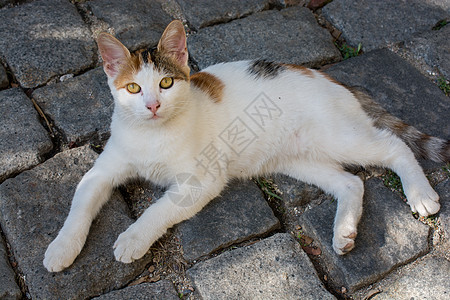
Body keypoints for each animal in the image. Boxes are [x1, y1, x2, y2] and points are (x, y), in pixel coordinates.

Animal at [44, 20, 448, 272]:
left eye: (167, 84)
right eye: (132, 88)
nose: (153, 106)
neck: (152, 136)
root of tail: (331, 78)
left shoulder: (202, 181)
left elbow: (158, 210)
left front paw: (132, 239)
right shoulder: (102, 172)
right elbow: (80, 204)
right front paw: (62, 248)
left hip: (340, 136)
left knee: (394, 146)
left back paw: (420, 194)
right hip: (299, 159)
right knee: (351, 182)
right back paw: (345, 232)